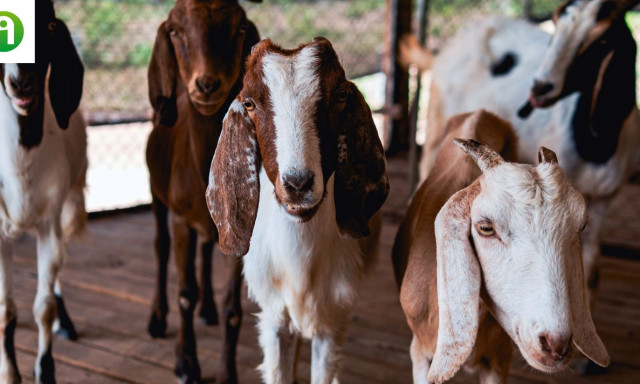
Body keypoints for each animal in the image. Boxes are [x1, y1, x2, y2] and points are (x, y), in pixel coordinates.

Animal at [147, 1, 260, 382]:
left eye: (240, 28)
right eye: (175, 30)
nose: (208, 84)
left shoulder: (240, 229)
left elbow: (232, 308)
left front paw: (226, 373)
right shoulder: (181, 218)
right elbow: (185, 293)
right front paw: (186, 363)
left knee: (207, 250)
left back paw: (207, 308)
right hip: (156, 194)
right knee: (161, 247)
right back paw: (156, 318)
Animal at [390, 109, 608, 382]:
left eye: (581, 226)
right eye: (486, 228)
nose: (554, 344)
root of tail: (481, 113)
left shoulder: (499, 359)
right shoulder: (420, 351)